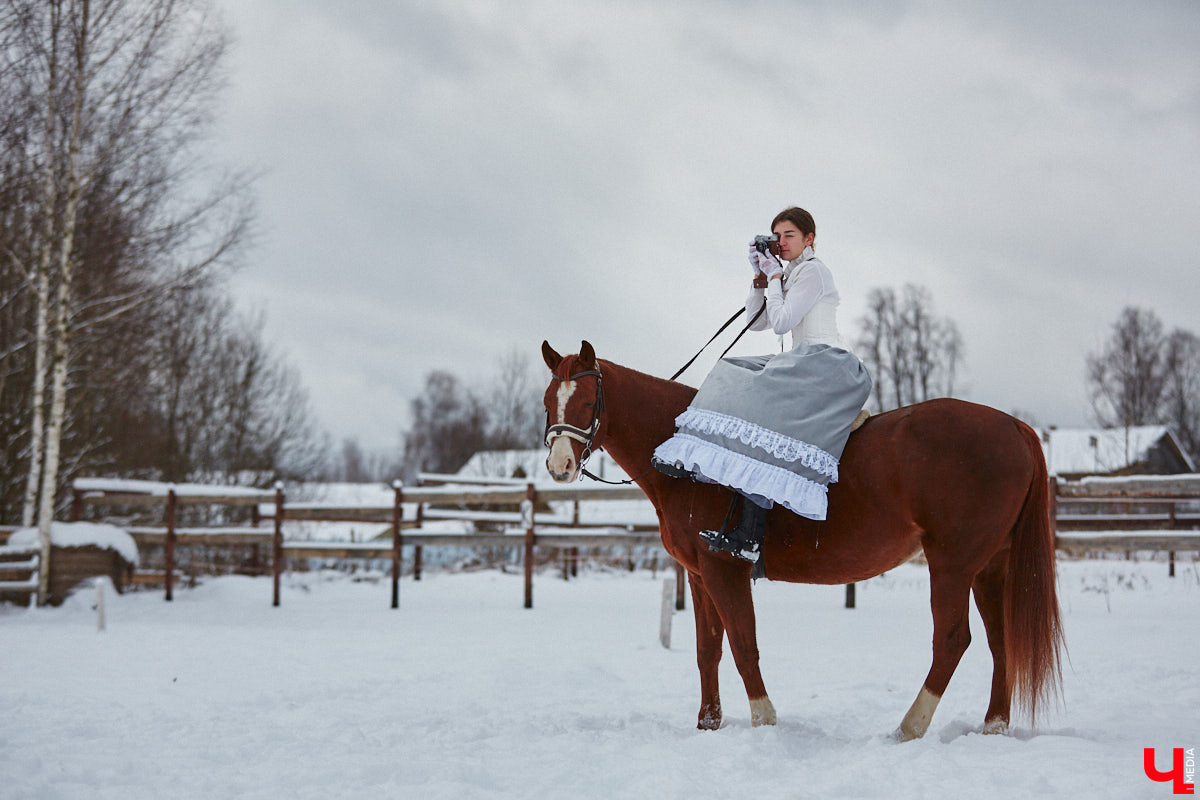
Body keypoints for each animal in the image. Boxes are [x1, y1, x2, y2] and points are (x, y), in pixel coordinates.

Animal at [542, 340, 1060, 743]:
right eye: (549, 400)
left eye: (587, 402)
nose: (559, 466)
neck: (685, 453)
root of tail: (1015, 426)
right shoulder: (698, 575)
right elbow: (708, 650)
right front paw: (708, 726)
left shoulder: (723, 569)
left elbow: (743, 644)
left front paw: (764, 722)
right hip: (989, 566)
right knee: (999, 641)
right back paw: (993, 727)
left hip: (952, 564)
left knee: (952, 639)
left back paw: (909, 728)